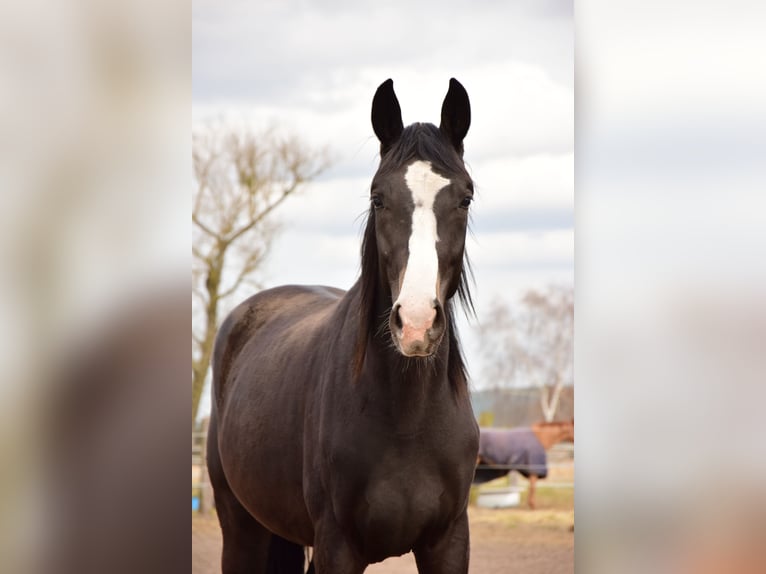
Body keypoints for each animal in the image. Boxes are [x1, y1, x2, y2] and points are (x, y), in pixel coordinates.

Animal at [206, 78, 480, 574]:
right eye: (378, 197)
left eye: (465, 197)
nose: (416, 323)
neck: (407, 417)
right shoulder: (338, 545)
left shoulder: (449, 542)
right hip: (240, 527)